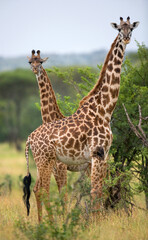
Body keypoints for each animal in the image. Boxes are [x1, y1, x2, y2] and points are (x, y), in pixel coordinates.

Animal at [22, 16, 139, 221]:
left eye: (131, 28)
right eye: (119, 29)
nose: (126, 38)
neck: (104, 109)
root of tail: (29, 138)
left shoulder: (101, 156)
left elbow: (97, 191)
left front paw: (96, 221)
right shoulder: (95, 154)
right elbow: (90, 192)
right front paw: (94, 223)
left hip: (44, 161)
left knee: (39, 189)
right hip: (45, 160)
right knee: (41, 189)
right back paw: (47, 223)